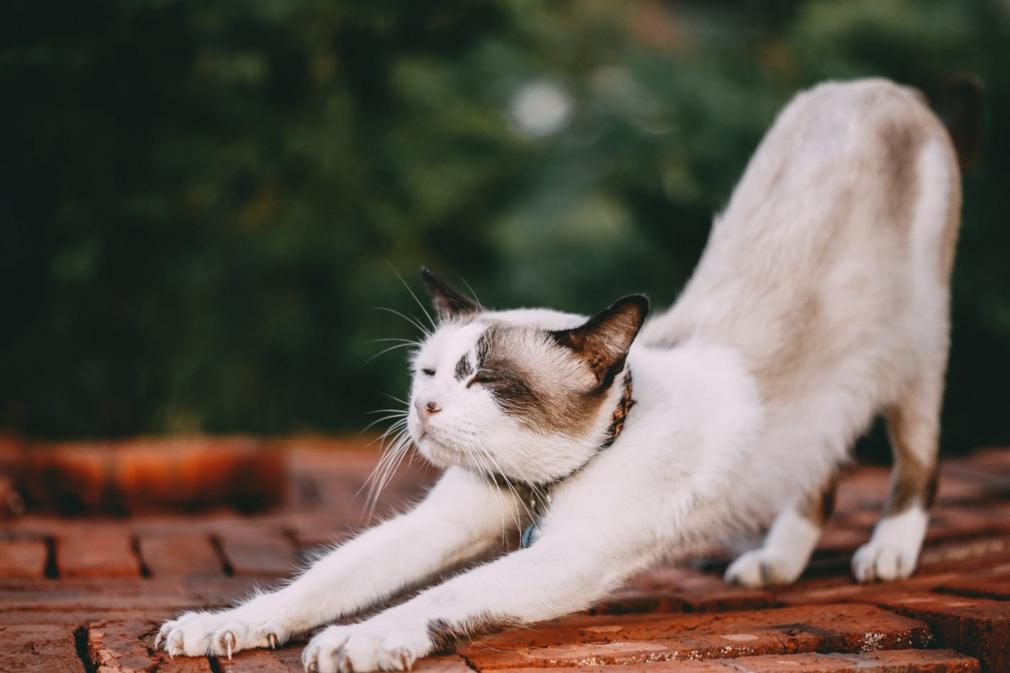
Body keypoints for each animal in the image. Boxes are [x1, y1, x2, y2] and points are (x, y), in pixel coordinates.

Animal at [155, 75, 961, 666]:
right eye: (431, 375)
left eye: (485, 380)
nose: (424, 412)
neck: (540, 483)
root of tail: (877, 86)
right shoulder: (443, 521)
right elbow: (318, 581)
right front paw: (216, 627)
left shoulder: (570, 556)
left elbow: (435, 599)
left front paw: (359, 641)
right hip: (840, 398)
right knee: (821, 463)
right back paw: (776, 564)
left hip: (914, 356)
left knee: (915, 461)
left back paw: (887, 552)